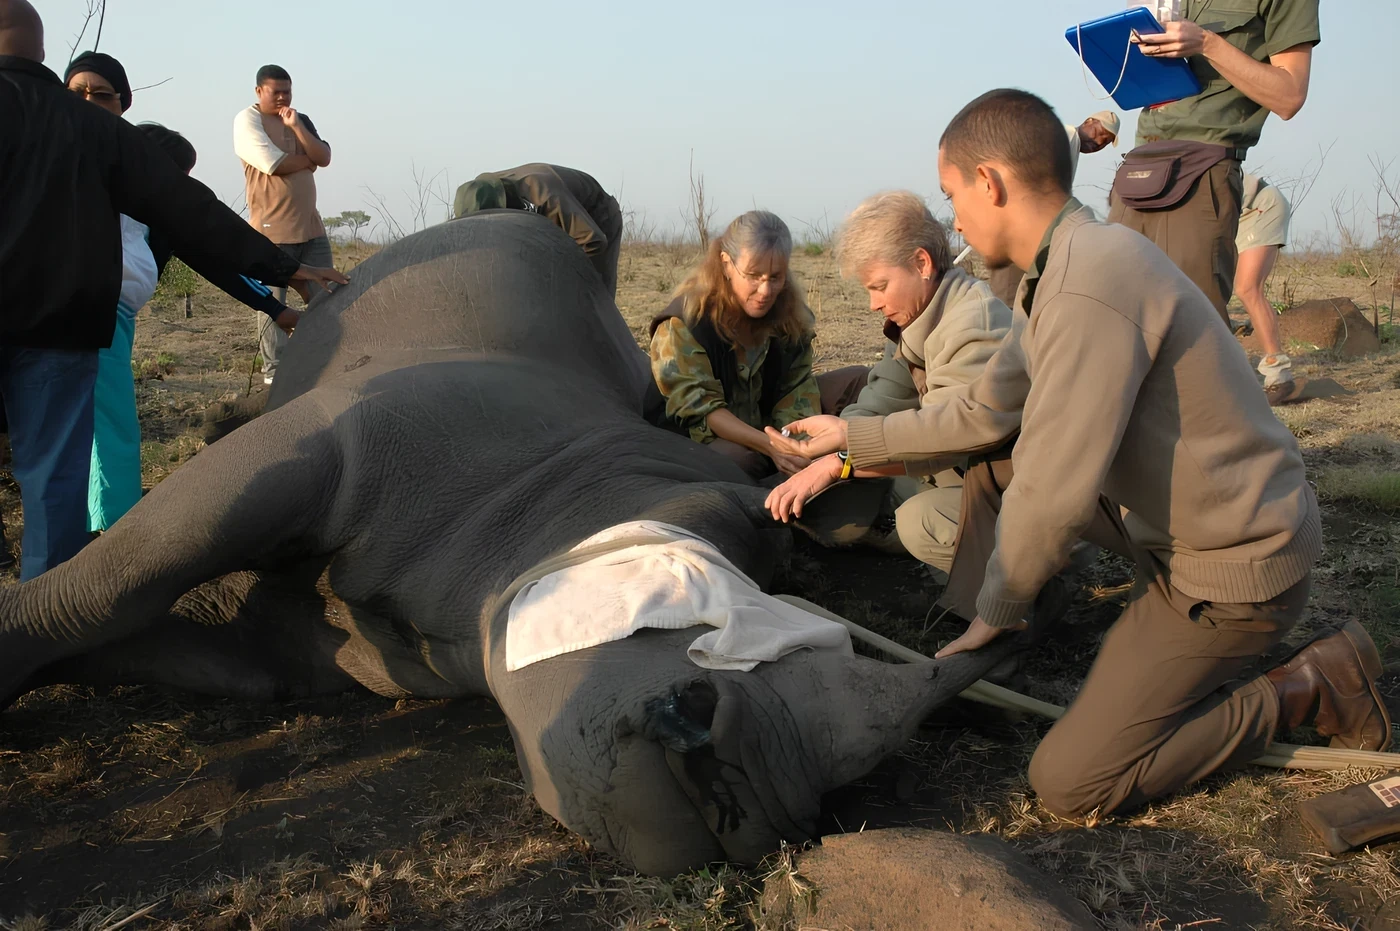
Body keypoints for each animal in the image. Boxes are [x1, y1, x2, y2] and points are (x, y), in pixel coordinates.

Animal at [0, 213, 1024, 875]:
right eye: (727, 531)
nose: (757, 795)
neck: (545, 503)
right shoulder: (343, 439)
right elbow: (115, 580)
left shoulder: (290, 644)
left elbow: (161, 635)